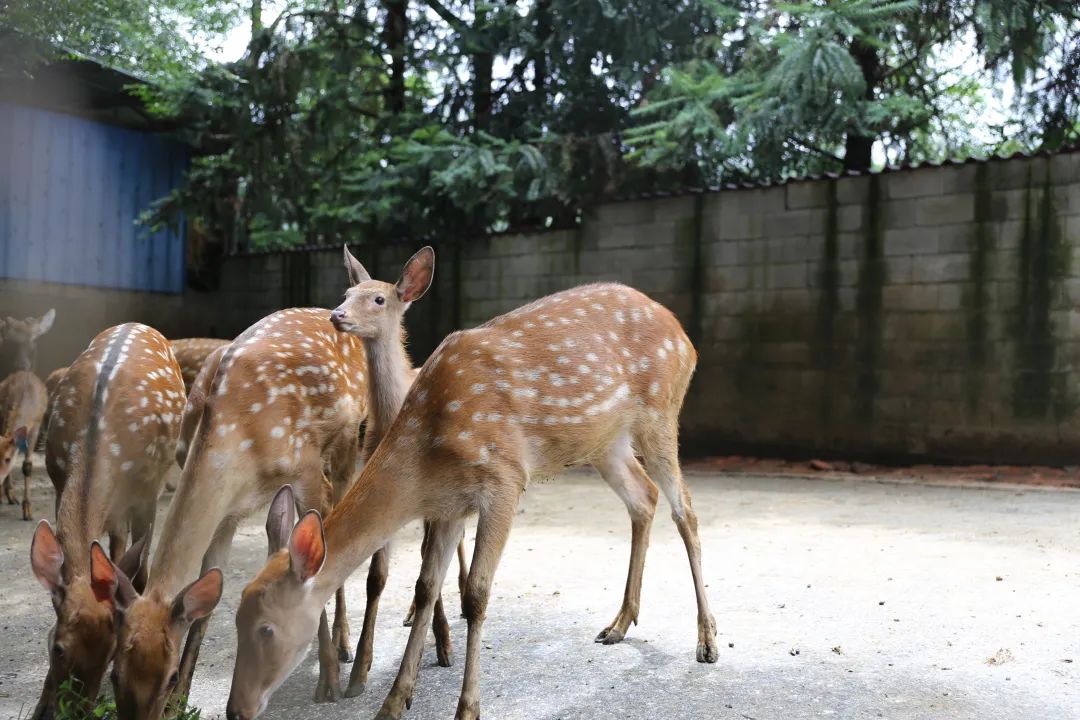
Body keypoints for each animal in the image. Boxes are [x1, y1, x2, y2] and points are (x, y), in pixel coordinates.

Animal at [27, 325, 187, 720]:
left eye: (112, 651)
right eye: (57, 647)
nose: (77, 709)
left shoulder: (144, 494)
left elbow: (137, 571)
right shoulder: (58, 481)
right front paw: (41, 704)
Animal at [101, 306, 369, 716]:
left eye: (168, 676)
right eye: (115, 672)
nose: (156, 708)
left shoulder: (306, 472)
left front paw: (328, 683)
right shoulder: (226, 514)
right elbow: (210, 593)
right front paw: (180, 705)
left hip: (346, 443)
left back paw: (343, 647)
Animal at [221, 280, 717, 720]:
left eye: (266, 627)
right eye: (236, 621)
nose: (235, 709)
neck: (429, 450)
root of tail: (686, 339)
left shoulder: (503, 479)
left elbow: (475, 594)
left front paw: (467, 708)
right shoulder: (448, 505)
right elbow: (425, 588)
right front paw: (393, 702)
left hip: (660, 412)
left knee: (686, 510)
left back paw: (707, 640)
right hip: (605, 442)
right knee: (643, 498)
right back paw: (618, 623)